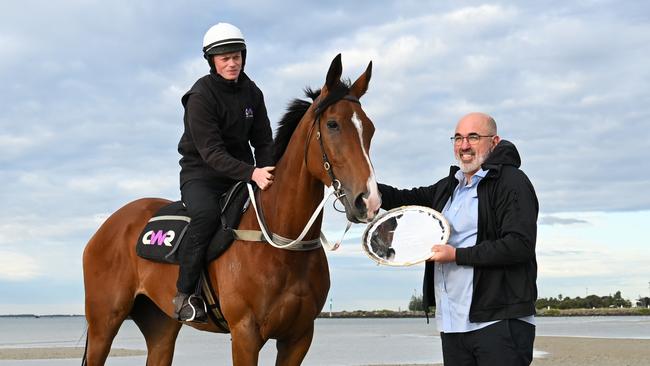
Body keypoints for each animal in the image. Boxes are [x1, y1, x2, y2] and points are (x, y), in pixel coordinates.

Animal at [81, 55, 380, 366]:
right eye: (333, 124)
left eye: (370, 128)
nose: (368, 200)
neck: (282, 245)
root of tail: (106, 228)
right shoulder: (245, 335)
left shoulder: (298, 338)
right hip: (104, 323)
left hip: (160, 326)